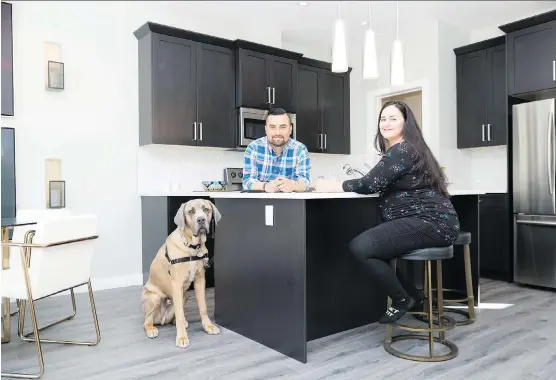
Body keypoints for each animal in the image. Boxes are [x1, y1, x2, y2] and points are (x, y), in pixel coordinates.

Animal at [141, 199, 222, 348]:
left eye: (206, 209)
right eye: (191, 211)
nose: (201, 220)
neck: (192, 247)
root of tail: (161, 320)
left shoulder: (200, 281)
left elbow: (203, 307)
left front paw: (208, 326)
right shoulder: (177, 284)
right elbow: (180, 313)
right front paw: (182, 338)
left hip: (185, 296)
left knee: (173, 318)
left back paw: (180, 322)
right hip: (154, 298)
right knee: (147, 321)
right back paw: (151, 329)